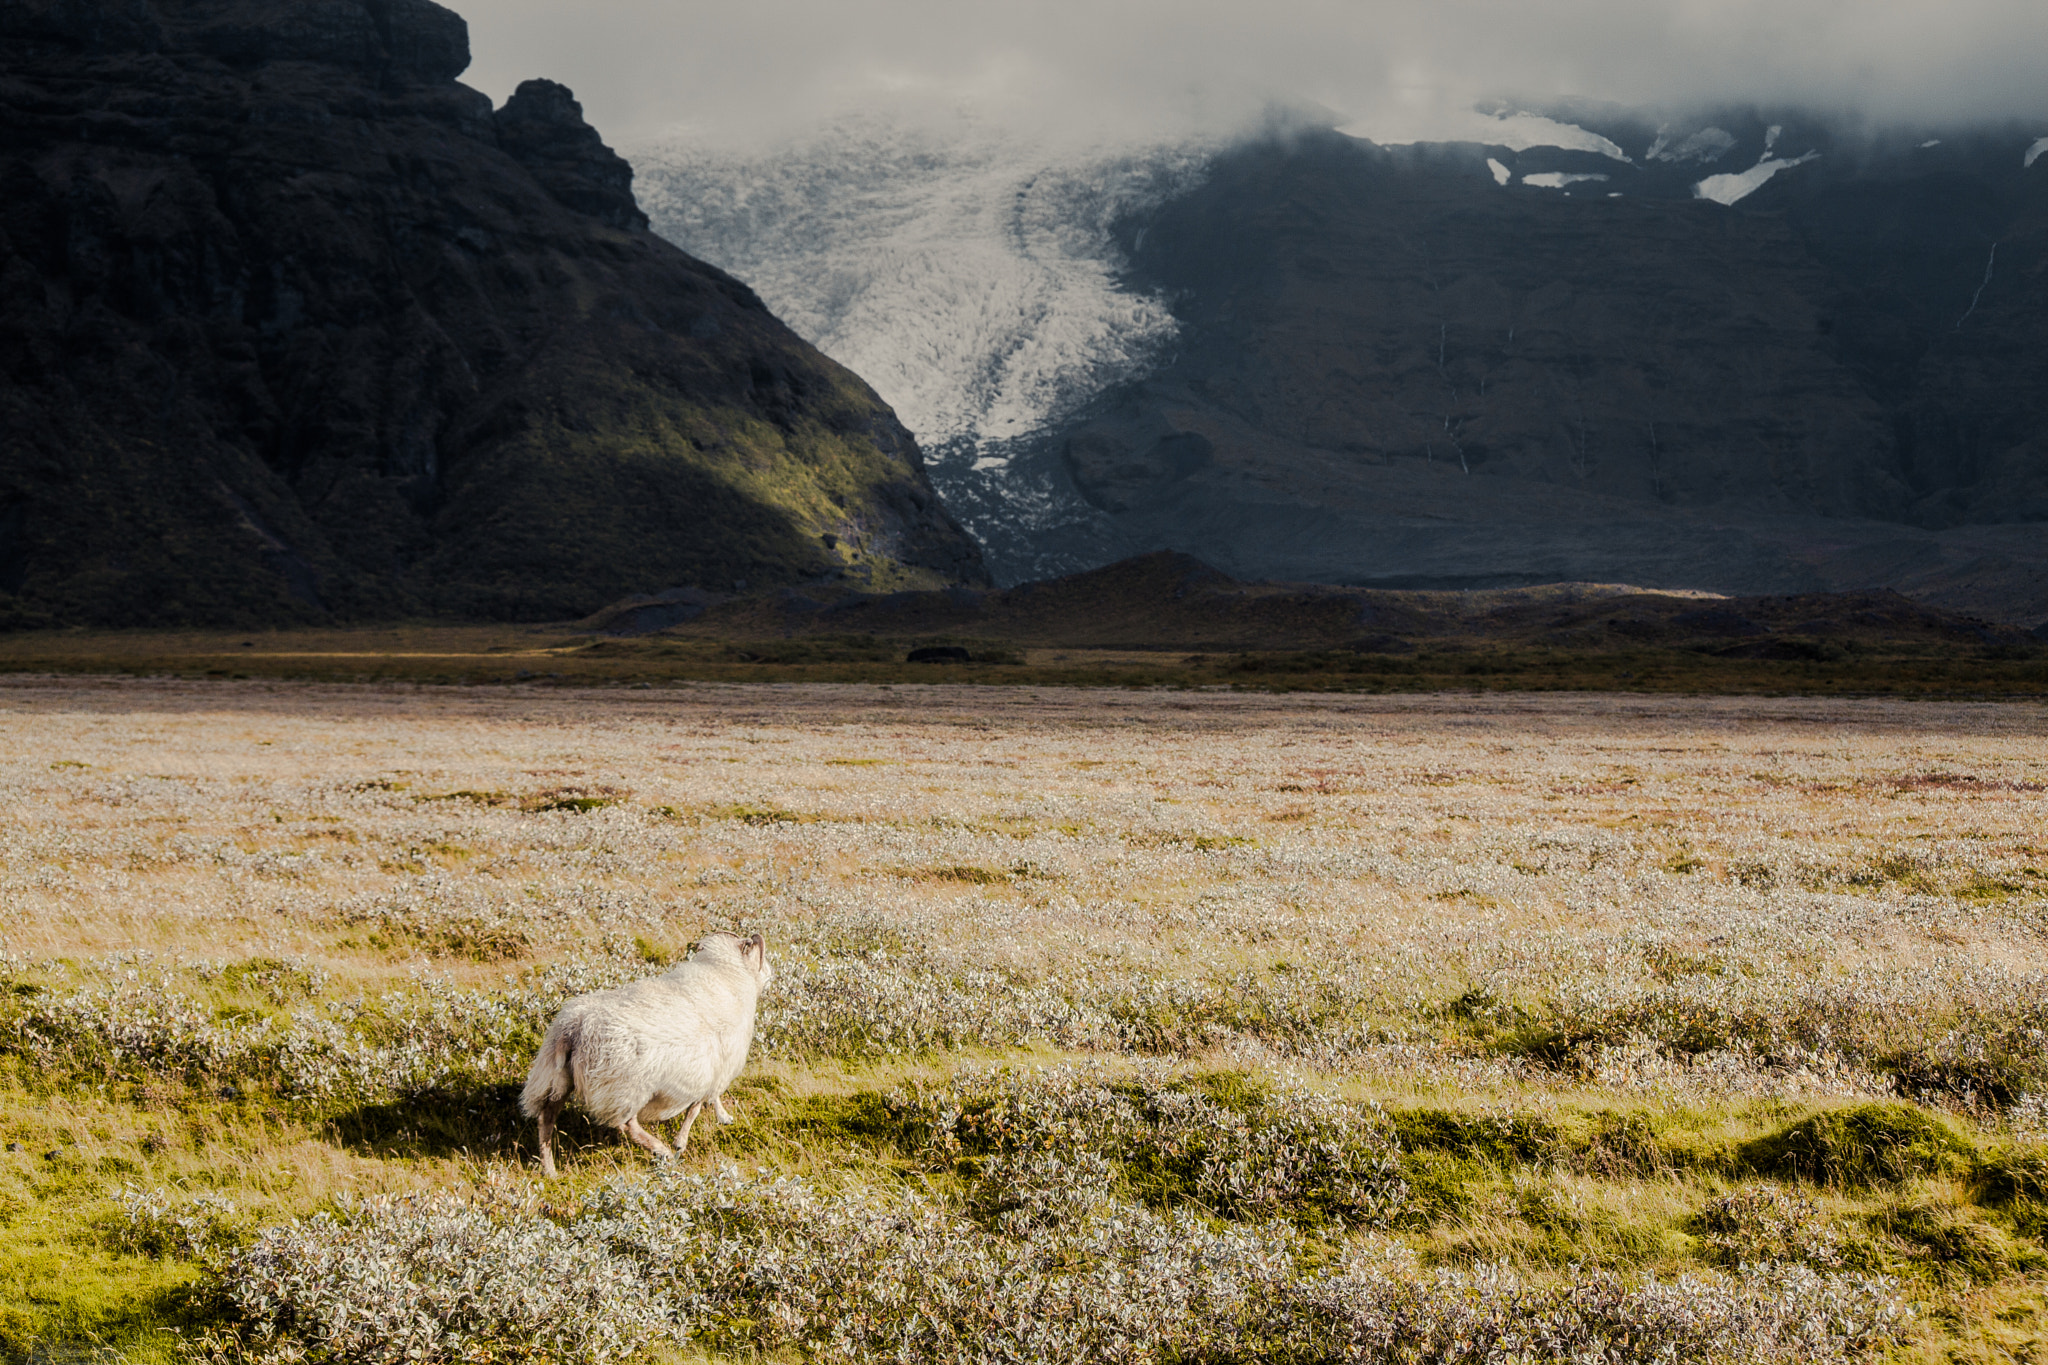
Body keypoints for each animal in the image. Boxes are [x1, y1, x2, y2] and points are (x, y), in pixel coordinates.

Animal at [520, 930, 772, 1178]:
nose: (769, 972)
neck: (727, 974)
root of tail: (575, 1026)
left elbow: (700, 1104)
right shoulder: (716, 1068)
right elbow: (699, 1106)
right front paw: (687, 1139)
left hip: (556, 1078)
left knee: (546, 1118)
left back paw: (549, 1170)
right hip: (626, 1087)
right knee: (627, 1125)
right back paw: (662, 1151)